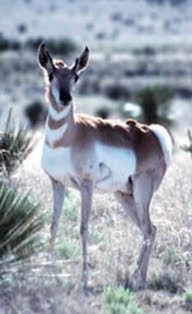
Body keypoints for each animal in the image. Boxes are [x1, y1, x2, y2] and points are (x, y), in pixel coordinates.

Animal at [38, 43, 172, 292]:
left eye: (76, 76)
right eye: (51, 74)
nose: (65, 98)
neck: (67, 136)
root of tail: (151, 133)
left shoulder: (86, 186)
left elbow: (83, 228)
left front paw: (84, 279)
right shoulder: (57, 184)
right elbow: (53, 225)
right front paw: (45, 270)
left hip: (141, 193)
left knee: (149, 230)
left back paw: (134, 279)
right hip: (124, 196)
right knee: (150, 230)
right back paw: (141, 280)